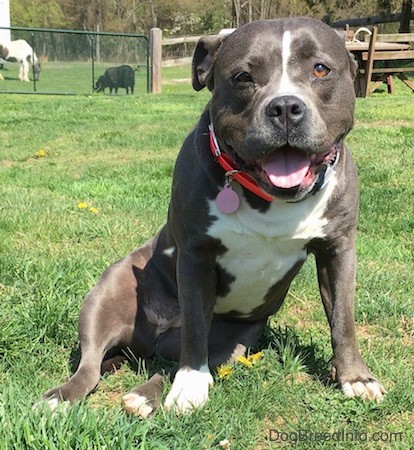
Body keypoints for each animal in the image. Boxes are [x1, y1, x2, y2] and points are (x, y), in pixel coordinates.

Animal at [40, 18, 384, 418]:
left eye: (320, 69)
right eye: (243, 76)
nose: (285, 107)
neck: (267, 196)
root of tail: (147, 342)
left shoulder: (337, 250)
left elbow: (343, 317)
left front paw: (355, 378)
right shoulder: (195, 256)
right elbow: (194, 328)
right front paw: (190, 386)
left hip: (234, 343)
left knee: (170, 364)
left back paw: (144, 395)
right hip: (104, 298)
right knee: (93, 364)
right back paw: (64, 396)